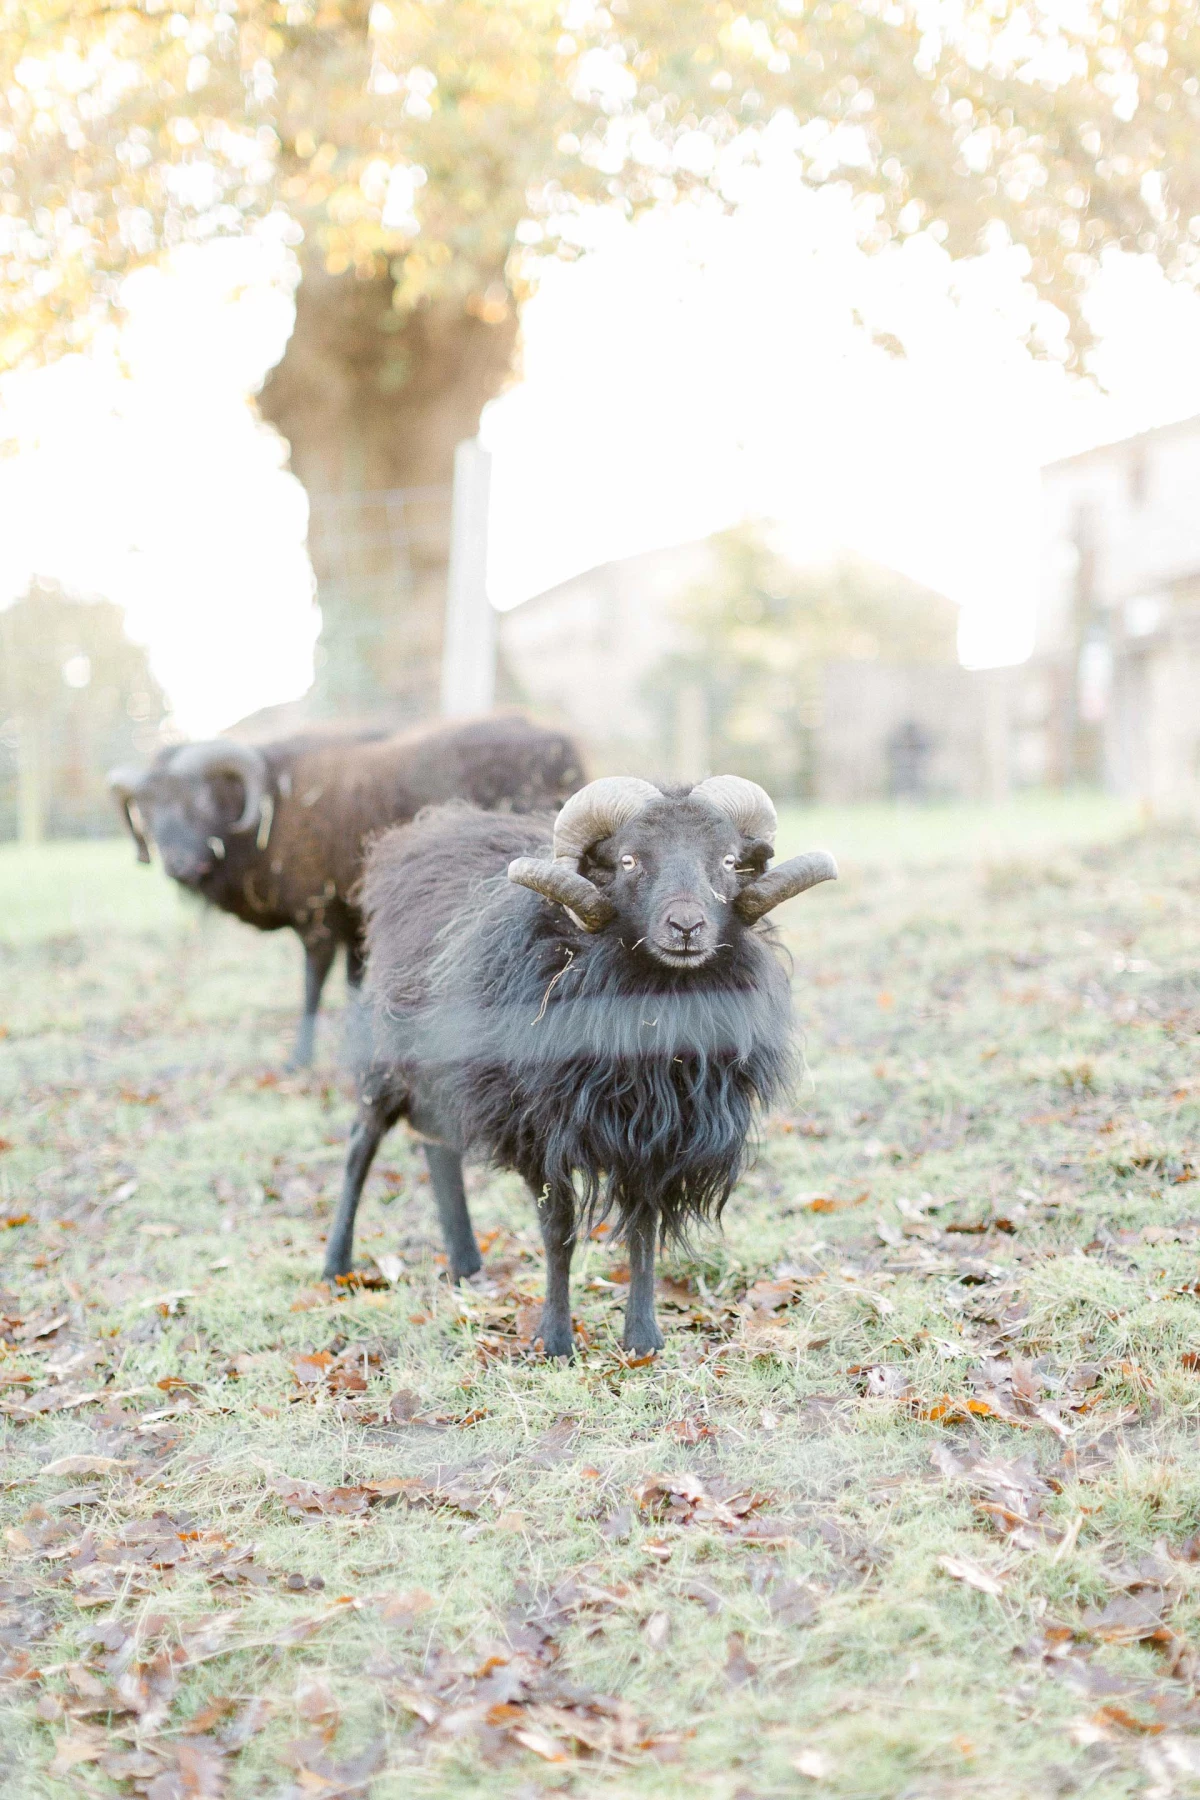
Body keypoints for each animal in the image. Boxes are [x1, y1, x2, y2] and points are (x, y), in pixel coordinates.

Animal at [108, 715, 585, 1068]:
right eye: (145, 810)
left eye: (200, 799)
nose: (180, 866)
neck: (273, 812)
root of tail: (563, 748)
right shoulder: (352, 920)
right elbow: (354, 985)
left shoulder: (316, 919)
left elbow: (313, 985)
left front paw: (299, 1060)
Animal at [324, 775, 837, 1355]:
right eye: (629, 860)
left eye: (727, 860)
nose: (687, 926)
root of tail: (424, 830)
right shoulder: (538, 1128)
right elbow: (558, 1230)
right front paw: (555, 1339)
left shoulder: (659, 1133)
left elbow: (643, 1229)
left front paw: (643, 1338)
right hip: (389, 1055)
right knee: (360, 1144)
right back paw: (336, 1266)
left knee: (437, 1145)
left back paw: (465, 1263)